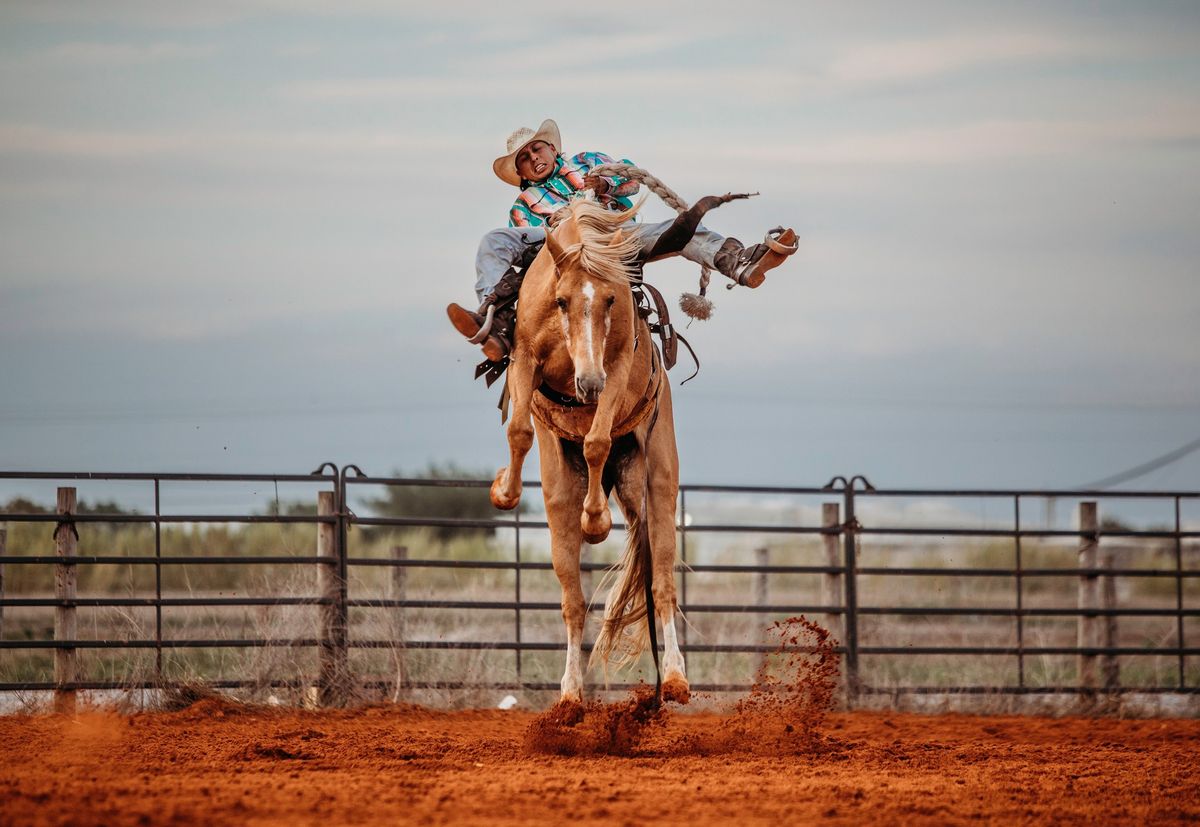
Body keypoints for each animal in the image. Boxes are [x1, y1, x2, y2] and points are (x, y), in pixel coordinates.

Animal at [487, 196, 691, 700]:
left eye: (612, 300)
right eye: (562, 300)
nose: (589, 382)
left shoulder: (614, 367)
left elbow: (597, 439)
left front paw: (596, 520)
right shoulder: (524, 357)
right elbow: (519, 429)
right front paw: (504, 492)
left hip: (657, 486)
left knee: (662, 585)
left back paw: (675, 677)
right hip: (561, 503)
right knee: (573, 602)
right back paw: (570, 695)